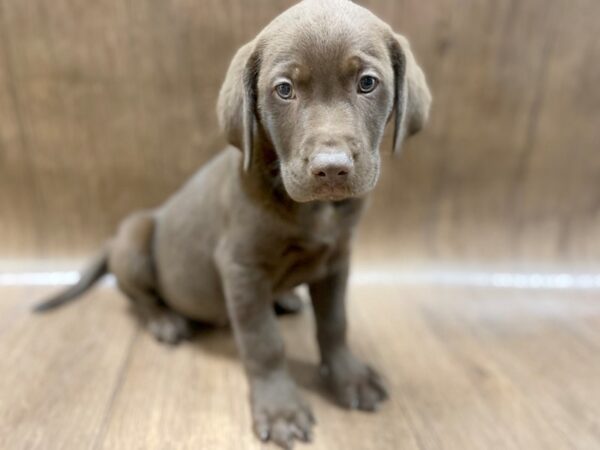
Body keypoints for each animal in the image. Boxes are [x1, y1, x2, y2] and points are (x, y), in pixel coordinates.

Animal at [34, 0, 432, 446]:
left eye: (367, 83)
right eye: (284, 89)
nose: (331, 169)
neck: (312, 210)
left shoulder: (336, 260)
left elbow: (334, 324)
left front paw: (349, 377)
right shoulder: (242, 268)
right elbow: (264, 342)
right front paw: (280, 408)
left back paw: (286, 299)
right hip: (136, 238)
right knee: (136, 295)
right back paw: (165, 321)